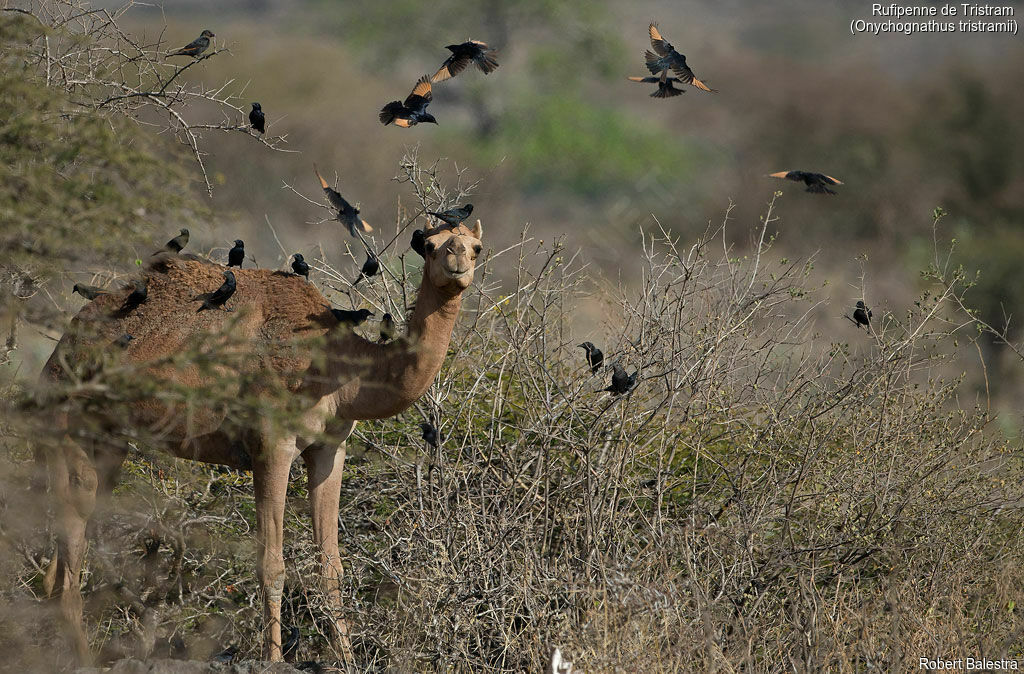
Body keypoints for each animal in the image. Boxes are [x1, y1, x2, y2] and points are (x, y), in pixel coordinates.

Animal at [37, 219, 485, 659]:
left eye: (476, 246)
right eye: (430, 245)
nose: (457, 259)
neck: (338, 369)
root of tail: (58, 356)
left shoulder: (329, 448)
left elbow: (332, 566)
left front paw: (346, 660)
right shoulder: (272, 444)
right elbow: (272, 564)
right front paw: (273, 659)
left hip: (109, 442)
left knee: (61, 563)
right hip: (66, 425)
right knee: (71, 548)